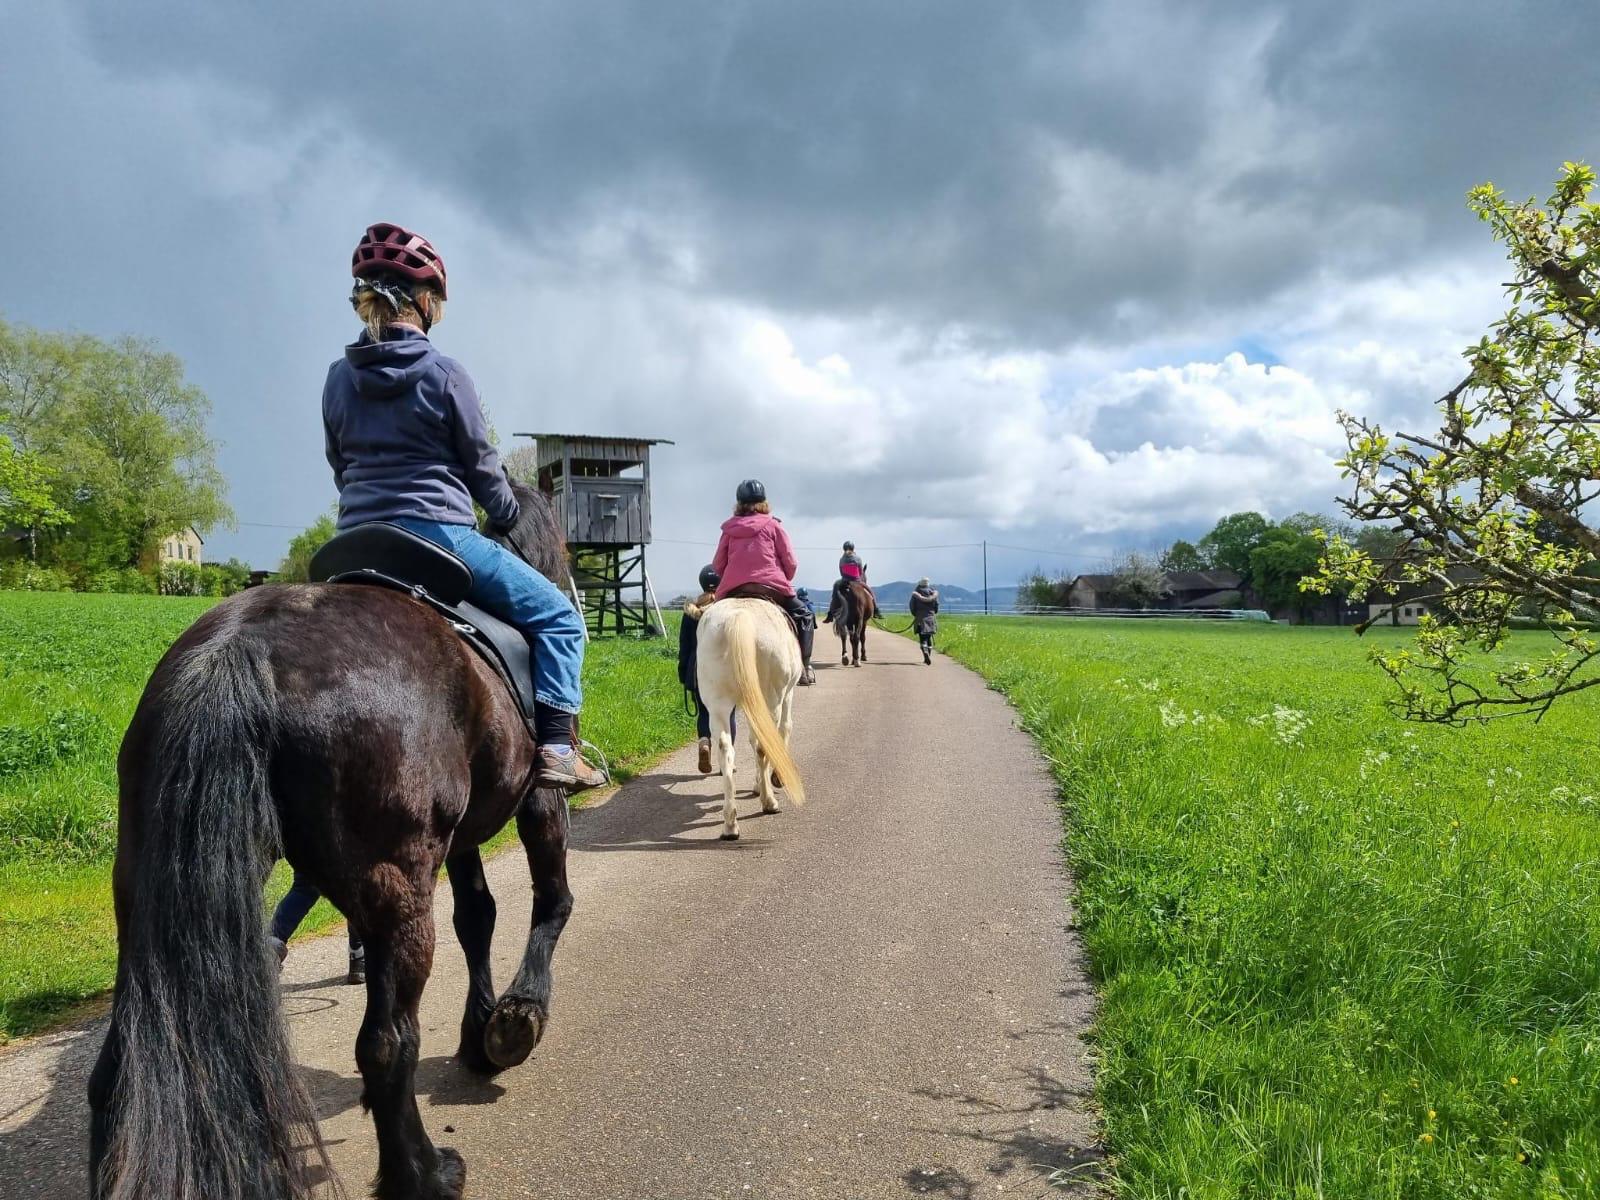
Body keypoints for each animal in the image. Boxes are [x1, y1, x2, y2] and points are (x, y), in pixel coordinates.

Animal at [87, 483, 572, 1200]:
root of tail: (238, 648)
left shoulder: (460, 840)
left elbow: (478, 918)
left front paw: (479, 1031)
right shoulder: (540, 798)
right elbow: (550, 903)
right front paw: (517, 1018)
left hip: (147, 895)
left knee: (114, 1072)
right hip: (398, 894)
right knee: (386, 1044)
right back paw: (425, 1174)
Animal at [694, 598, 806, 838]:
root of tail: (739, 616)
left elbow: (752, 740)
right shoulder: (787, 696)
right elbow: (783, 730)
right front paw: (772, 781)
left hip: (717, 704)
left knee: (725, 749)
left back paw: (730, 823)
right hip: (771, 698)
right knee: (765, 744)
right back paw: (769, 802)